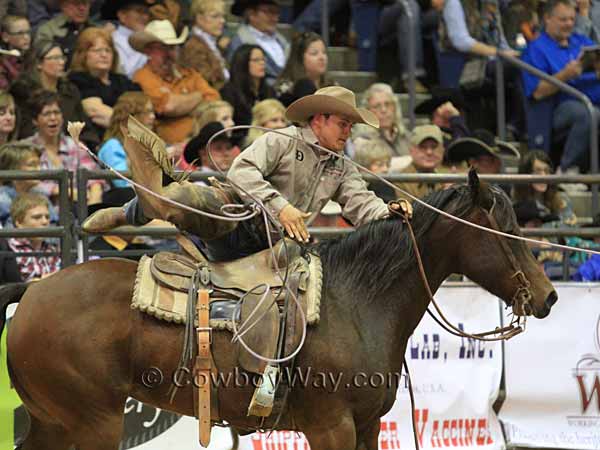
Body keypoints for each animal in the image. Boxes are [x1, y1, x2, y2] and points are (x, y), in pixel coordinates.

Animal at [0, 173, 556, 450]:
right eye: (504, 230)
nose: (549, 296)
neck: (356, 301)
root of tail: (31, 292)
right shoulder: (332, 427)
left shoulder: (368, 427)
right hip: (92, 423)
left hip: (54, 422)